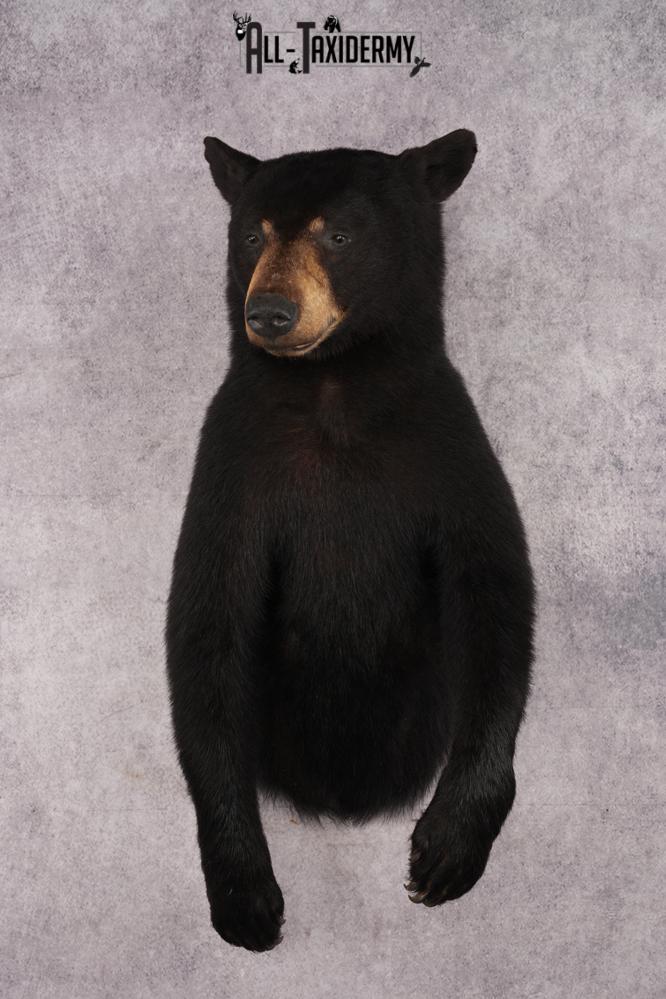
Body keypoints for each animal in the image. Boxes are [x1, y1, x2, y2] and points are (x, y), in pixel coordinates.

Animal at [164, 129, 537, 952]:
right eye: (251, 235)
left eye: (337, 234)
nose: (269, 312)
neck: (336, 392)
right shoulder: (233, 464)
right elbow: (206, 622)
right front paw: (244, 894)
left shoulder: (448, 450)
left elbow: (496, 595)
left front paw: (446, 850)